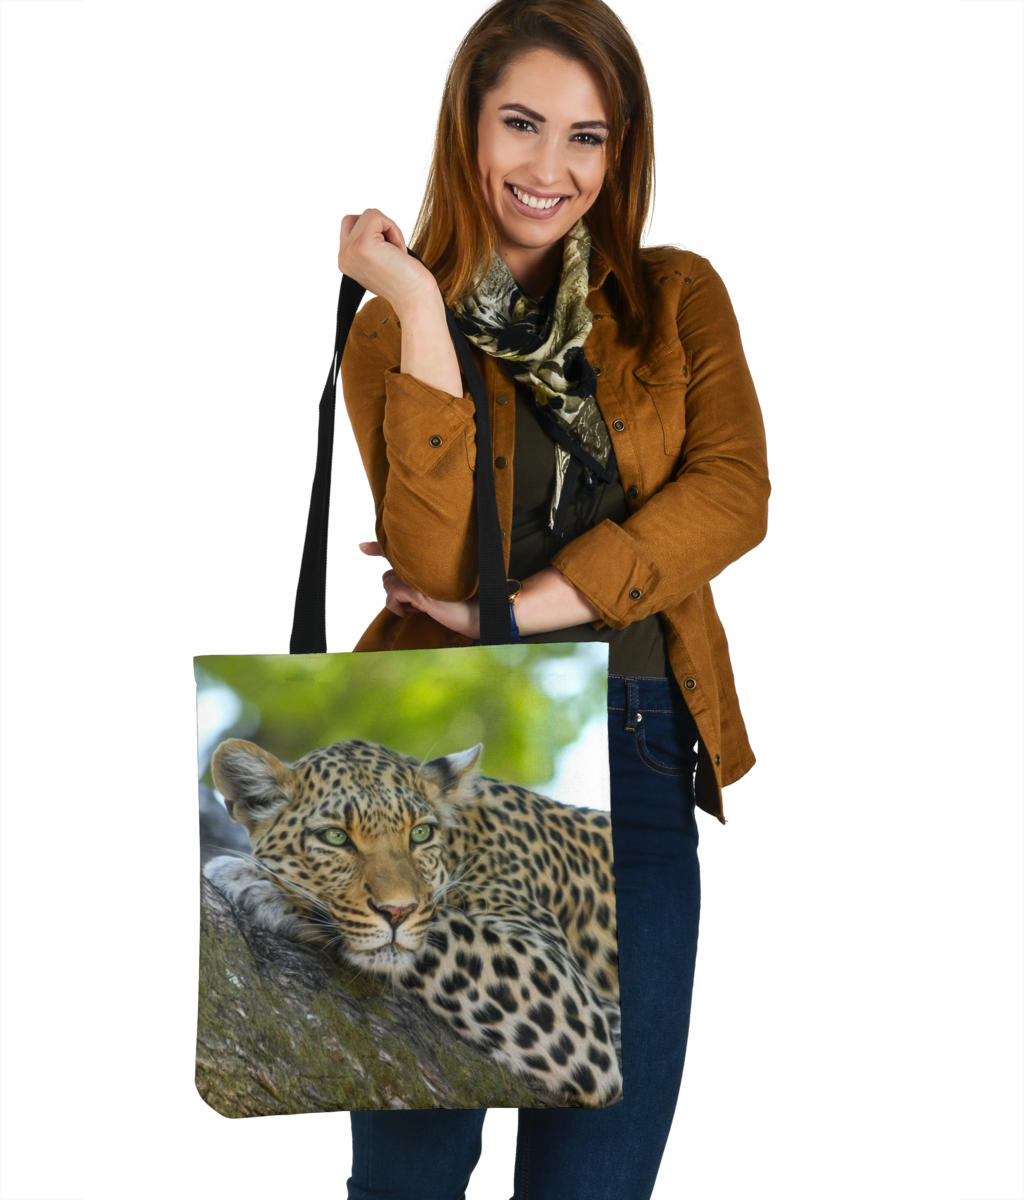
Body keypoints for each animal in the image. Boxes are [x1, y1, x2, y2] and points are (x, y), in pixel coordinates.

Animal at [202, 735, 622, 1108]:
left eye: (420, 833)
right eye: (335, 838)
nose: (397, 912)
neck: (466, 842)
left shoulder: (582, 1009)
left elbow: (440, 925)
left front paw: (259, 884)